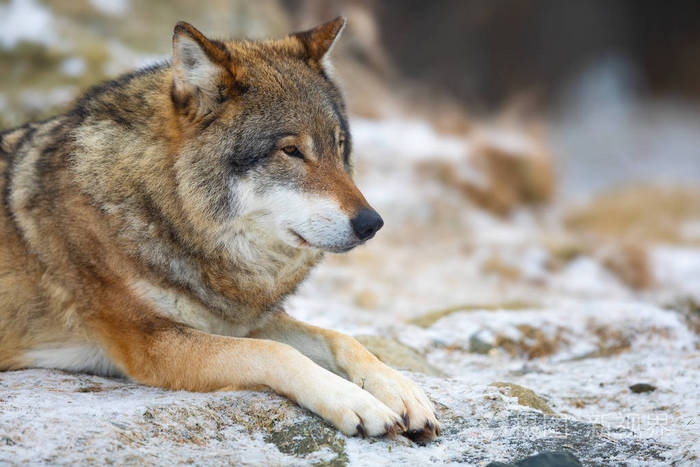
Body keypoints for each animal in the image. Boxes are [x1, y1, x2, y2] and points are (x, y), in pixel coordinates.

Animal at [0, 18, 438, 440]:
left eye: (339, 145)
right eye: (291, 150)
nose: (372, 223)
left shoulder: (242, 321)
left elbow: (342, 338)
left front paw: (401, 391)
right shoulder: (152, 343)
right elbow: (274, 353)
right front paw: (357, 403)